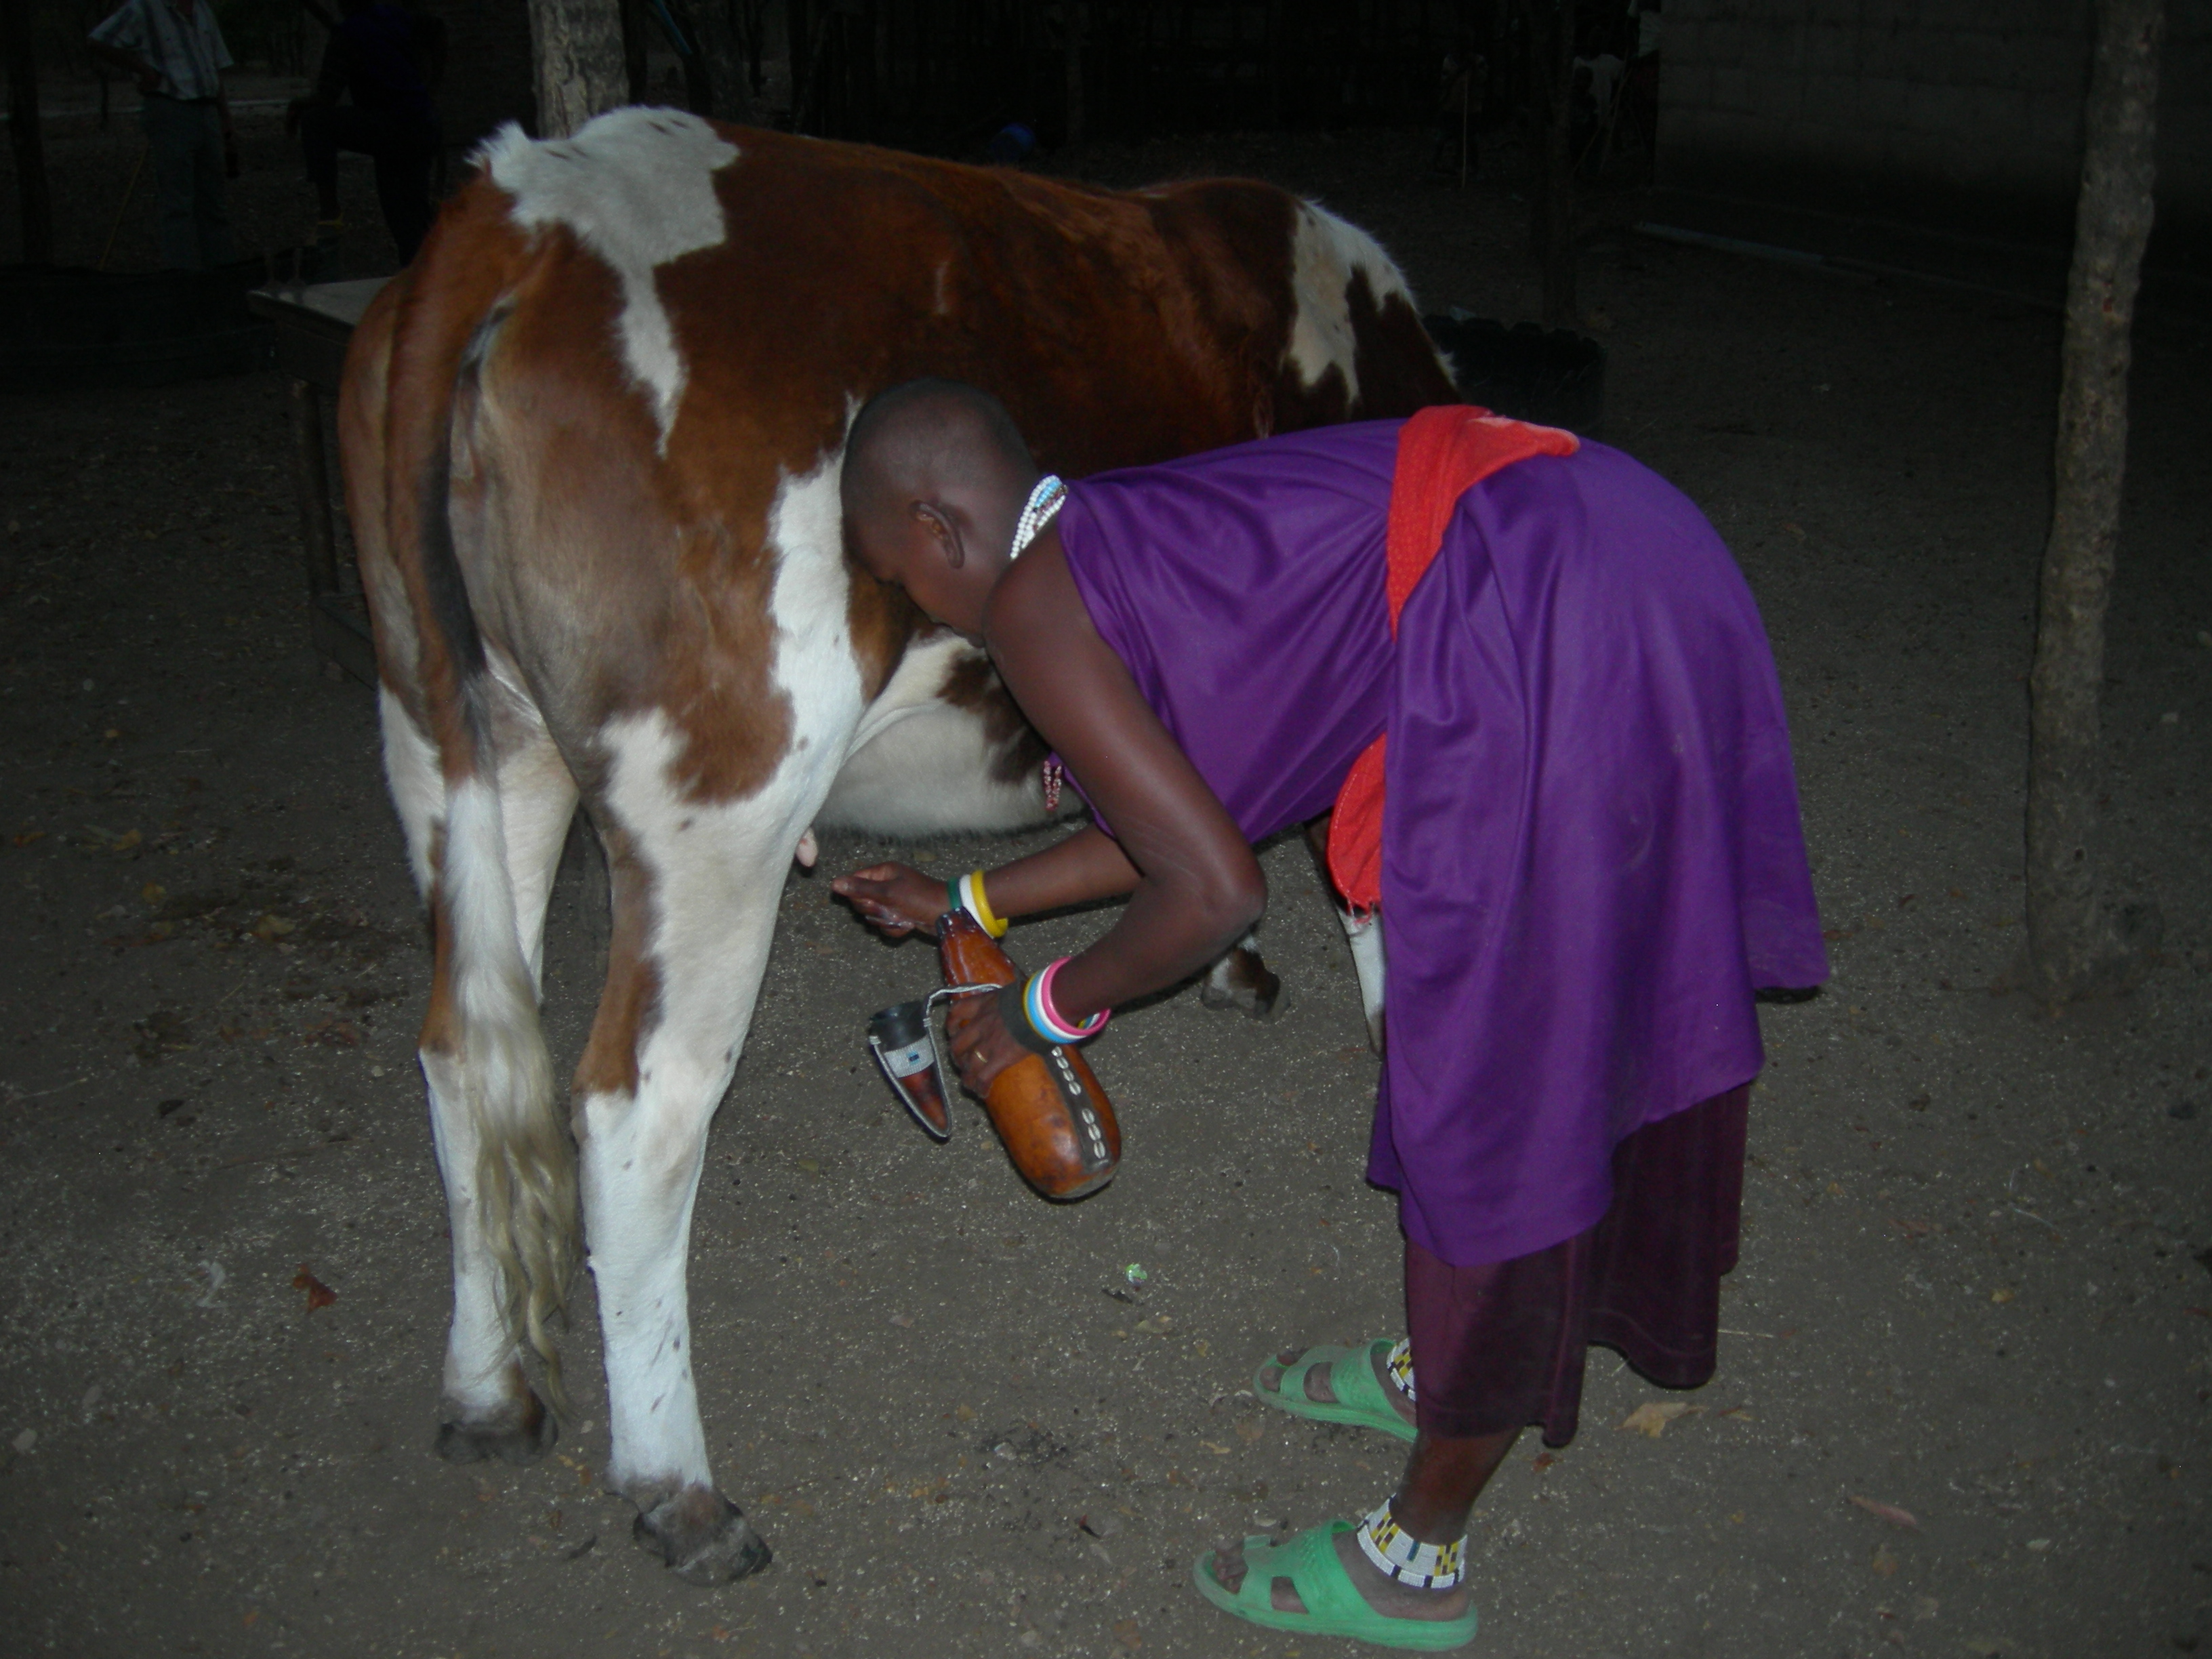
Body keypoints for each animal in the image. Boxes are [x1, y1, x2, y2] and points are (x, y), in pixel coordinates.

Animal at [340, 106, 1455, 1583]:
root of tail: (519, 200)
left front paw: (1237, 960)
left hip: (456, 736)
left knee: (466, 1056)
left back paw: (487, 1391)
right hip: (721, 794)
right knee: (639, 1103)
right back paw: (677, 1485)